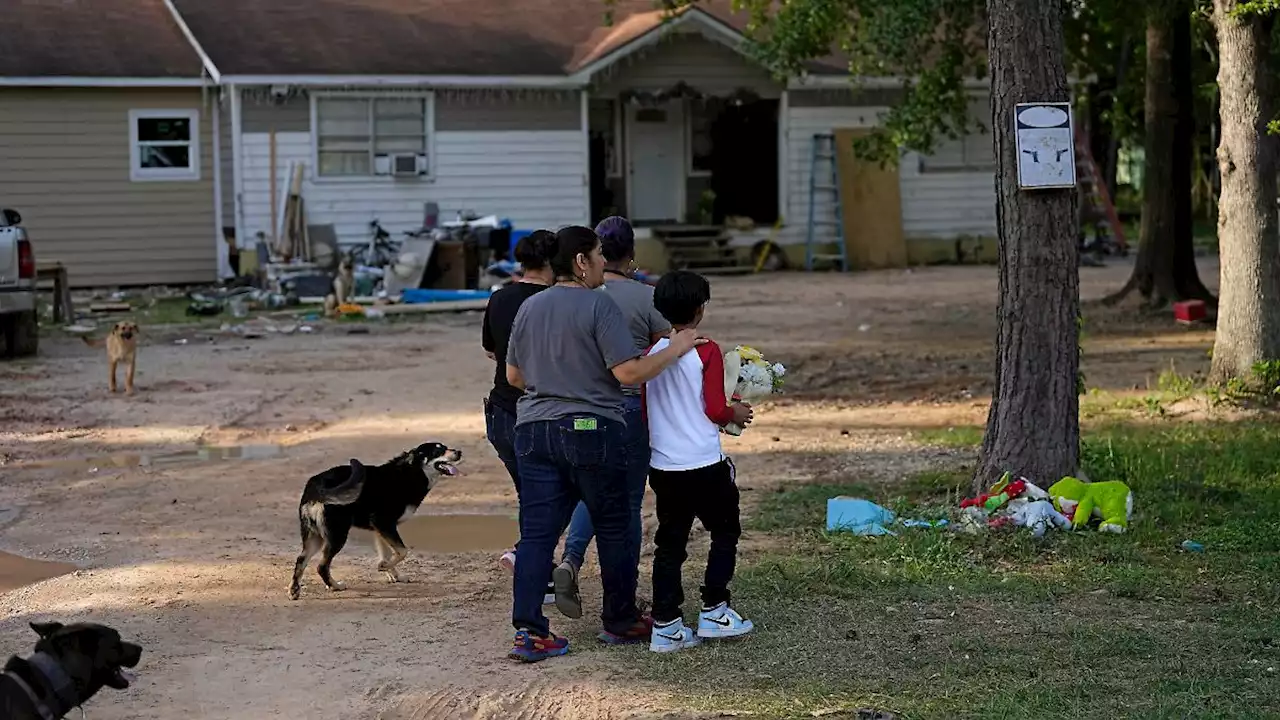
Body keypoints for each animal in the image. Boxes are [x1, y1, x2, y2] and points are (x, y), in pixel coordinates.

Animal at [290, 440, 465, 597]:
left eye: (446, 447)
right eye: (438, 451)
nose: (459, 452)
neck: (411, 472)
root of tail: (316, 485)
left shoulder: (381, 529)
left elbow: (388, 552)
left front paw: (394, 575)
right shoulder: (384, 524)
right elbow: (402, 551)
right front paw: (383, 566)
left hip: (315, 536)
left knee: (301, 560)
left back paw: (294, 590)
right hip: (337, 536)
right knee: (322, 566)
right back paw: (334, 586)